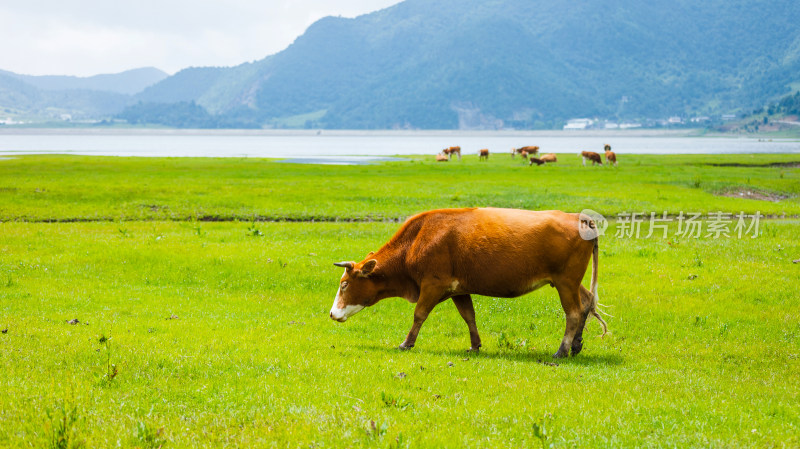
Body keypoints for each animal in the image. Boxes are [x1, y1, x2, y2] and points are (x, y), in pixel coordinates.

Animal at [328, 206, 608, 356]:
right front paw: (475, 345)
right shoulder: (458, 289)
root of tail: (579, 218)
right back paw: (576, 345)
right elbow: (469, 316)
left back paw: (562, 350)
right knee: (586, 303)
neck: (416, 241)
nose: (332, 314)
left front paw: (406, 343)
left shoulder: (433, 285)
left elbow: (419, 314)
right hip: (571, 282)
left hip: (565, 282)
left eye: (344, 284)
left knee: (573, 312)